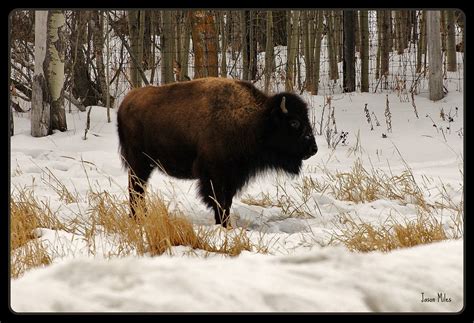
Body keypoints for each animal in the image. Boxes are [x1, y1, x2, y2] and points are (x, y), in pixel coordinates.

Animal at [117, 77, 318, 228]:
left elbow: (226, 202)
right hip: (139, 163)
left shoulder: (232, 178)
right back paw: (138, 218)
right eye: (294, 122)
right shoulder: (216, 175)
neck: (256, 119)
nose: (313, 149)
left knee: (138, 190)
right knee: (136, 189)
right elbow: (219, 202)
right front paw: (224, 226)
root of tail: (125, 102)